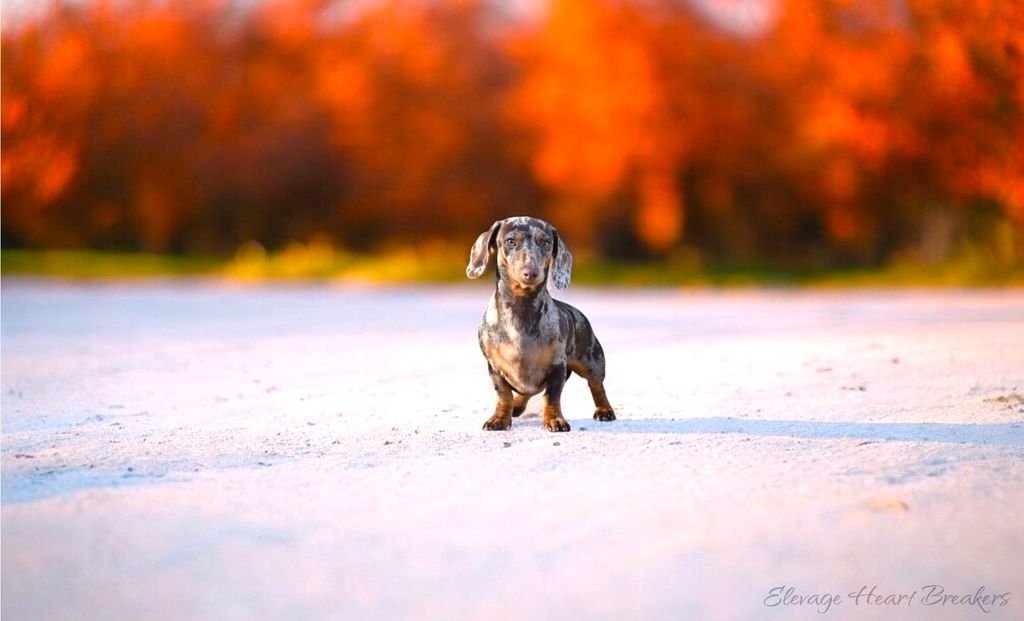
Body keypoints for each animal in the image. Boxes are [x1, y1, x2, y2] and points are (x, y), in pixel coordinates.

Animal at [466, 218, 614, 432]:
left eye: (545, 242)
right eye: (510, 241)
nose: (531, 273)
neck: (521, 310)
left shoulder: (557, 368)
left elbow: (551, 397)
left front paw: (555, 419)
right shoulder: (495, 368)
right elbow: (504, 394)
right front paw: (499, 418)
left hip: (592, 362)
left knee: (597, 386)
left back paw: (604, 410)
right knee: (526, 391)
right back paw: (517, 406)